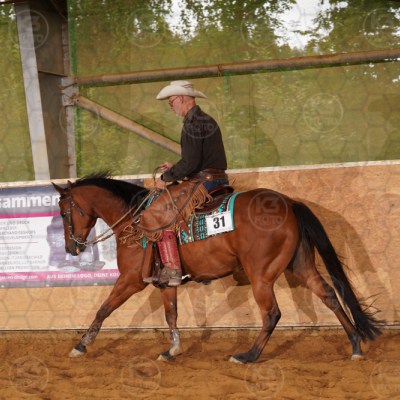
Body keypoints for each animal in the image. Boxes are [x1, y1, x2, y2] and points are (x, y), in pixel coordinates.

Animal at [52, 172, 382, 364]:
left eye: (64, 212)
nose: (71, 248)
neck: (133, 221)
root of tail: (289, 202)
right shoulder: (165, 283)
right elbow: (171, 315)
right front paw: (172, 350)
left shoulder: (131, 280)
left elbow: (103, 309)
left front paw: (81, 345)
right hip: (300, 265)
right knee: (329, 296)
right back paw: (355, 345)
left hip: (261, 275)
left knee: (272, 314)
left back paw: (249, 355)